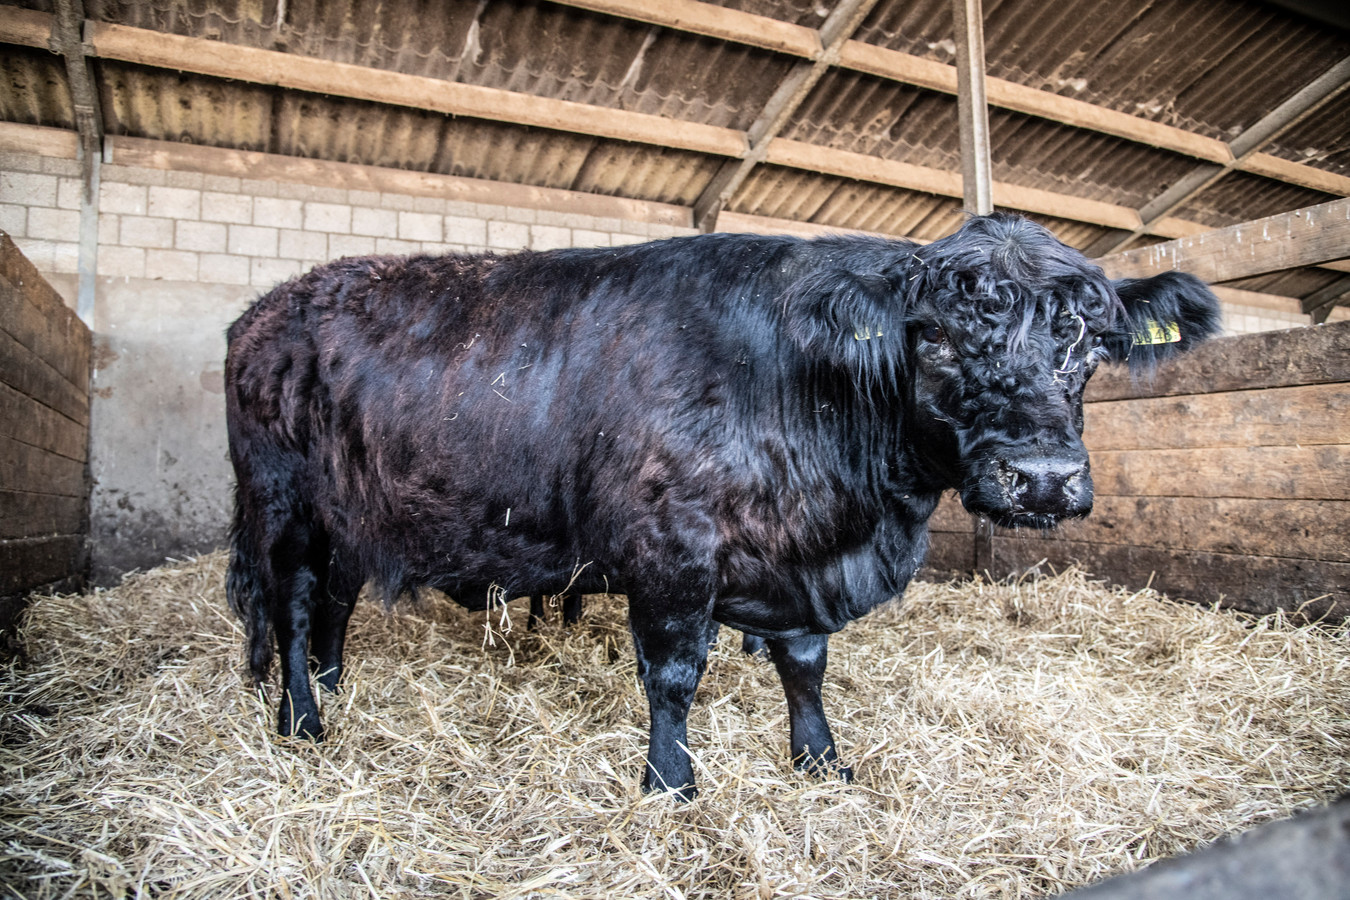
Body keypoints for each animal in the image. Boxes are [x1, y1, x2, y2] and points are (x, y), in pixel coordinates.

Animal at [224, 212, 1220, 799]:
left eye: (1088, 346)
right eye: (933, 338)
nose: (1043, 477)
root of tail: (266, 307)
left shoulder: (797, 562)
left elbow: (806, 665)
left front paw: (820, 759)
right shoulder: (672, 553)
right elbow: (673, 676)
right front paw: (670, 780)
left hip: (350, 517)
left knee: (333, 606)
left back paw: (335, 686)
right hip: (282, 506)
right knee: (293, 605)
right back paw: (303, 720)